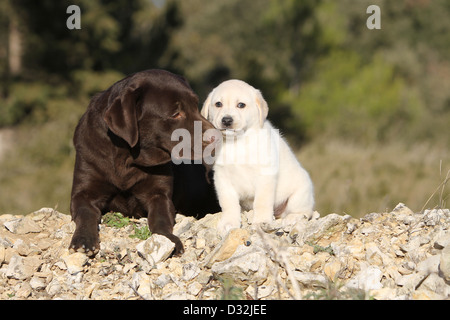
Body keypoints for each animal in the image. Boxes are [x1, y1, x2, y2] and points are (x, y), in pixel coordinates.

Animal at [202, 80, 314, 235]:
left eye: (241, 105)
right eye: (218, 104)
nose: (227, 120)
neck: (236, 142)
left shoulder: (265, 176)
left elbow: (262, 201)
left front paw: (261, 222)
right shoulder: (222, 178)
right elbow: (228, 203)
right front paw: (229, 222)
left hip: (300, 194)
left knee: (305, 212)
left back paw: (292, 218)